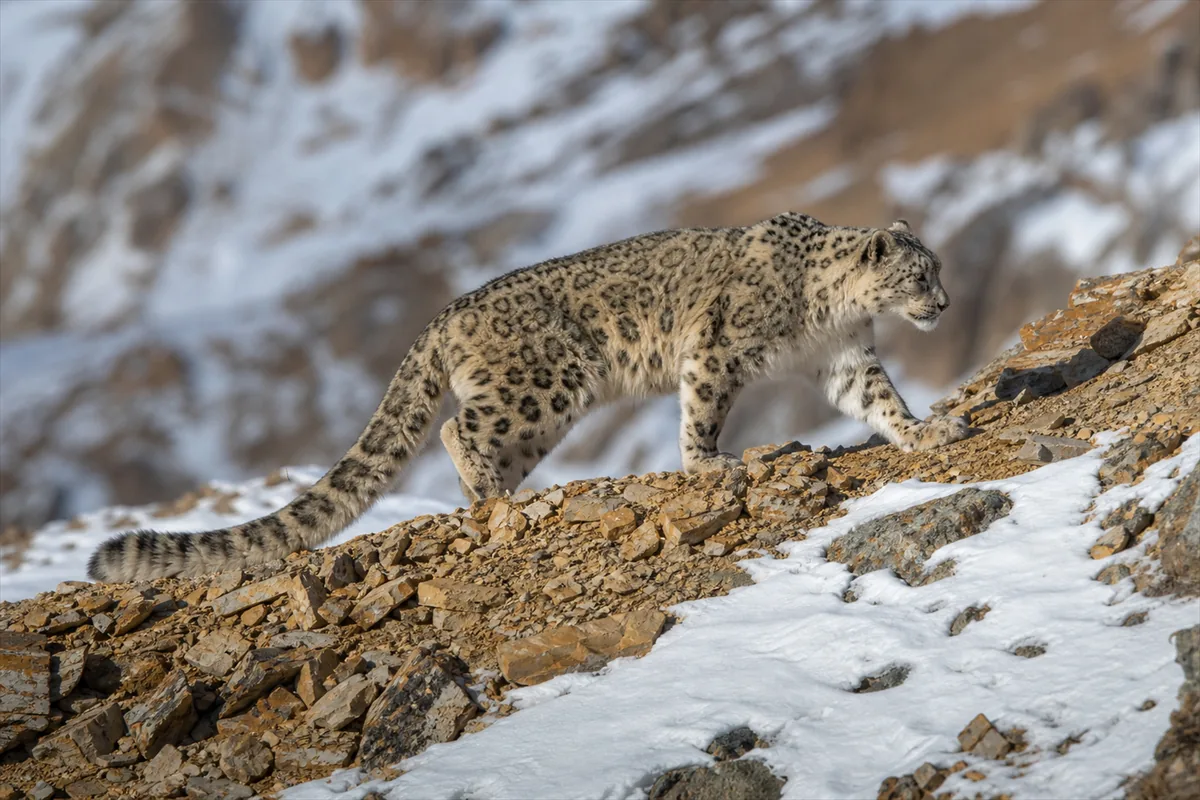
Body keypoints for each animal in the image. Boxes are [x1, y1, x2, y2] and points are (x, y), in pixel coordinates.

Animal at [87, 212, 968, 581]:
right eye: (920, 273)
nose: (946, 304)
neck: (829, 314)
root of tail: (446, 314)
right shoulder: (716, 350)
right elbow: (702, 411)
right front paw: (706, 465)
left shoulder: (845, 359)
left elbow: (881, 402)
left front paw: (925, 433)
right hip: (543, 384)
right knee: (455, 430)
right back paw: (494, 494)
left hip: (534, 412)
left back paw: (499, 496)